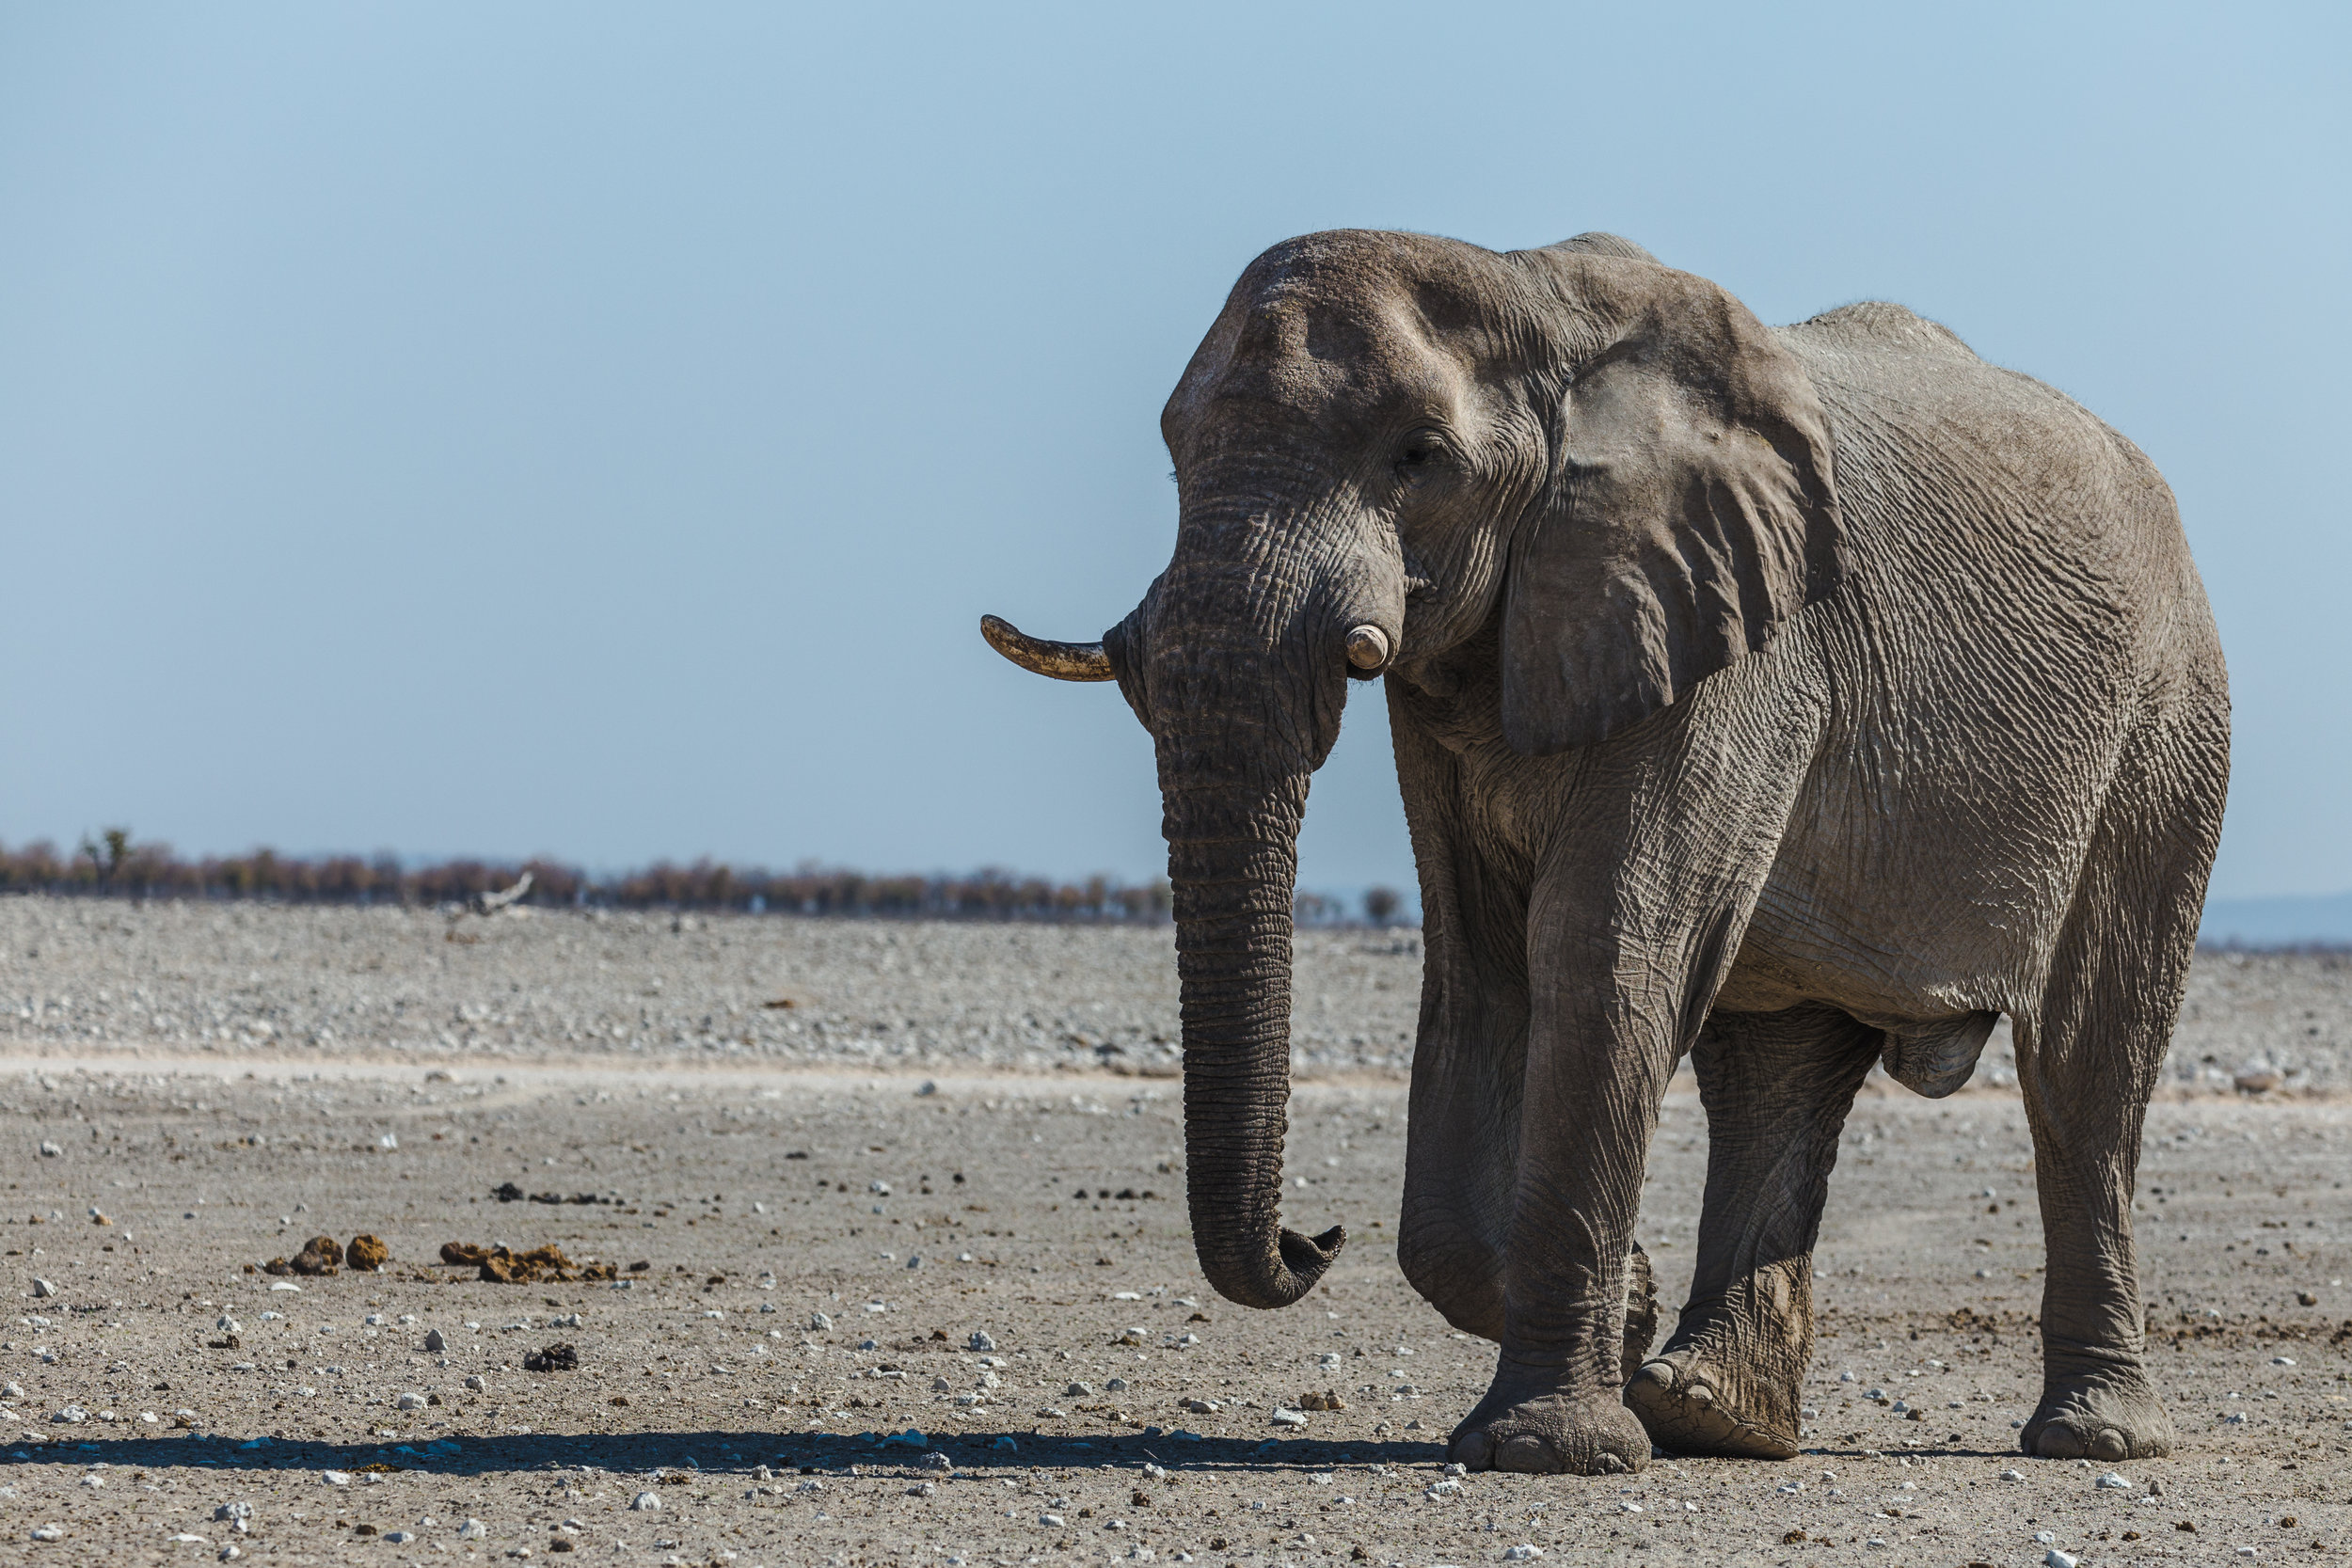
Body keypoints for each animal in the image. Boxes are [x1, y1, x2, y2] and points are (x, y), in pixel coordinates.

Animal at [978, 227, 2220, 1476]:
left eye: (1418, 456)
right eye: (1176, 459)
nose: (1312, 1235)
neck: (1528, 295)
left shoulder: (1735, 636)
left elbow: (1603, 947)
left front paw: (1549, 1444)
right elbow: (1479, 965)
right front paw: (1626, 1307)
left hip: (2163, 731)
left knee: (2085, 1069)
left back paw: (2090, 1435)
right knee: (1775, 1073)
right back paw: (1711, 1412)